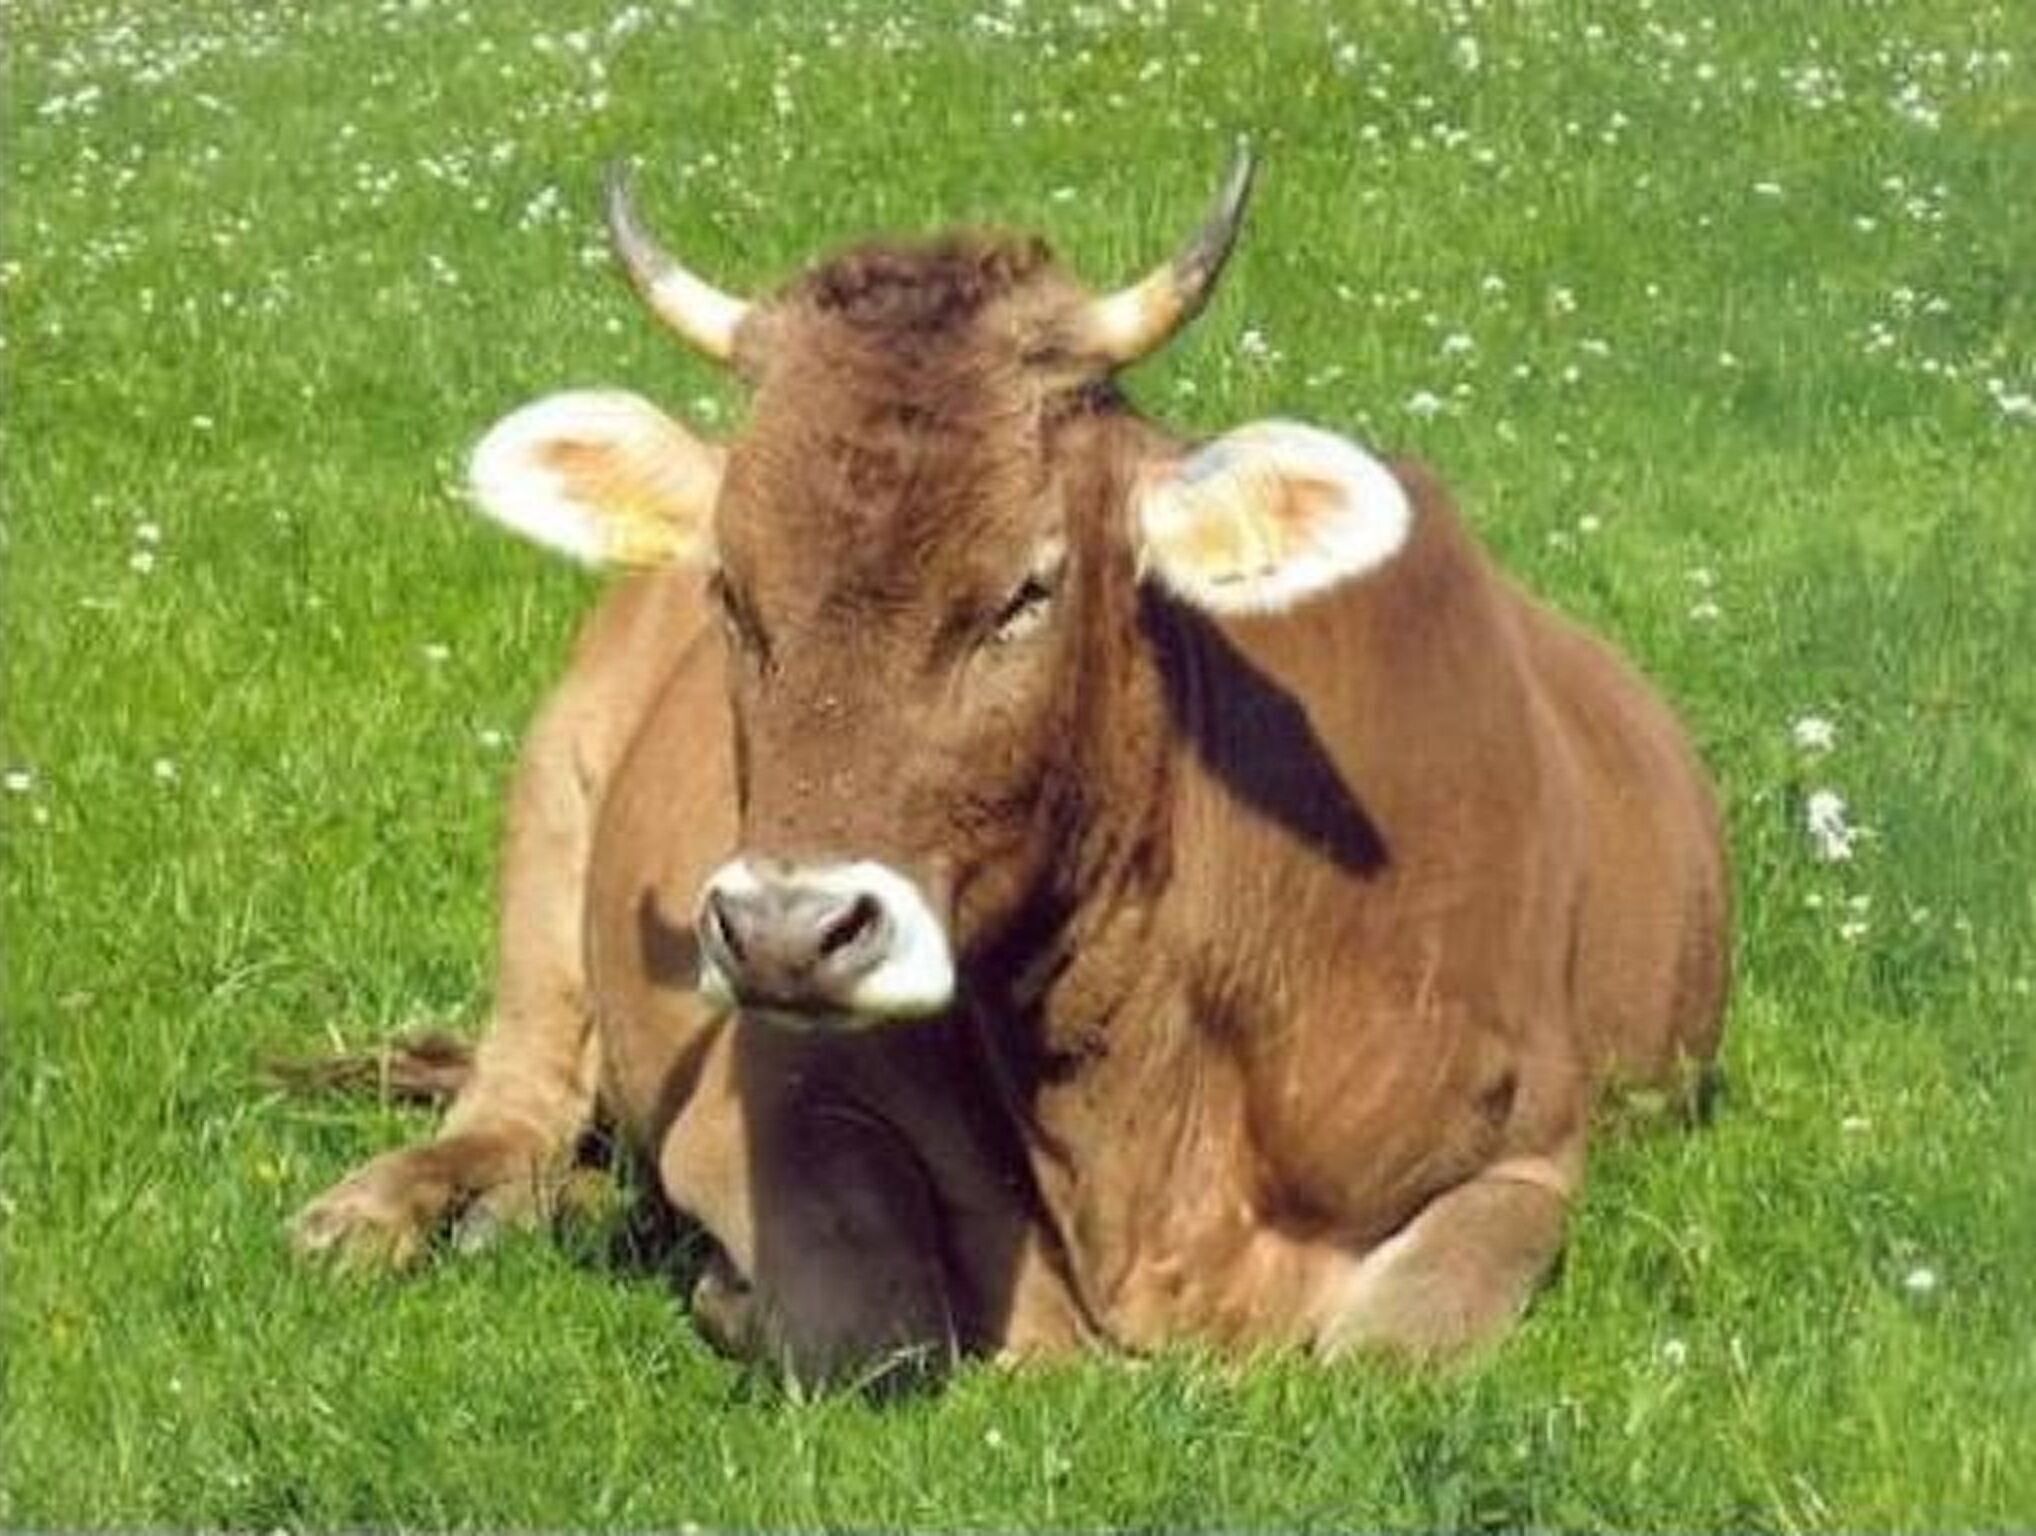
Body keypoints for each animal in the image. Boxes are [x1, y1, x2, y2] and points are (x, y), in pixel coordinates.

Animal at [292, 145, 1729, 1381]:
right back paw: (399, 1209)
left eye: (1027, 591)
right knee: (512, 1100)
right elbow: (868, 1312)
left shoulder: (1529, 1152)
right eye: (733, 592)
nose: (787, 933)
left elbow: (1395, 1345)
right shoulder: (764, 1106)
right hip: (553, 807)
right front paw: (719, 1285)